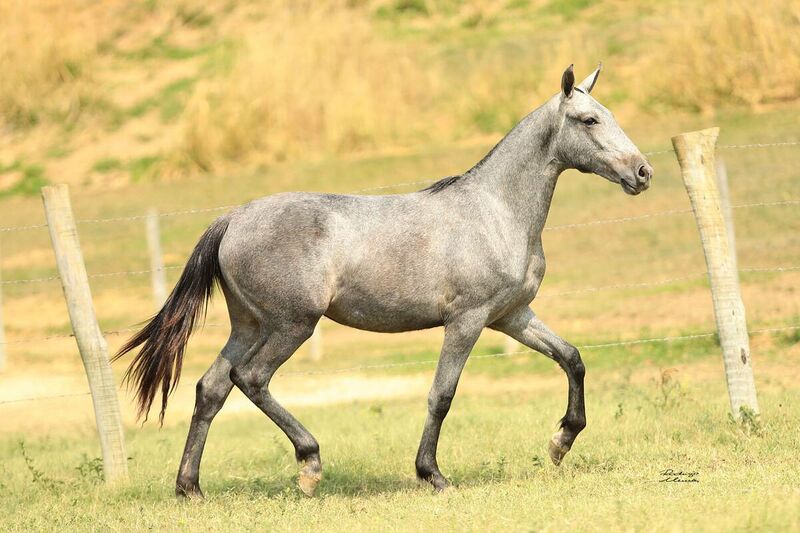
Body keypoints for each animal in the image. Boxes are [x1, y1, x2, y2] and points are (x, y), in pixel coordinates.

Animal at [115, 64, 652, 496]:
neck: (494, 212)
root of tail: (233, 219)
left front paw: (560, 442)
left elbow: (572, 358)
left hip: (248, 325)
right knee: (249, 378)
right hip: (291, 324)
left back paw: (190, 488)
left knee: (210, 388)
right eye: (590, 120)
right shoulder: (467, 321)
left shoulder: (512, 316)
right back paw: (309, 466)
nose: (643, 173)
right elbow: (442, 395)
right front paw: (432, 475)